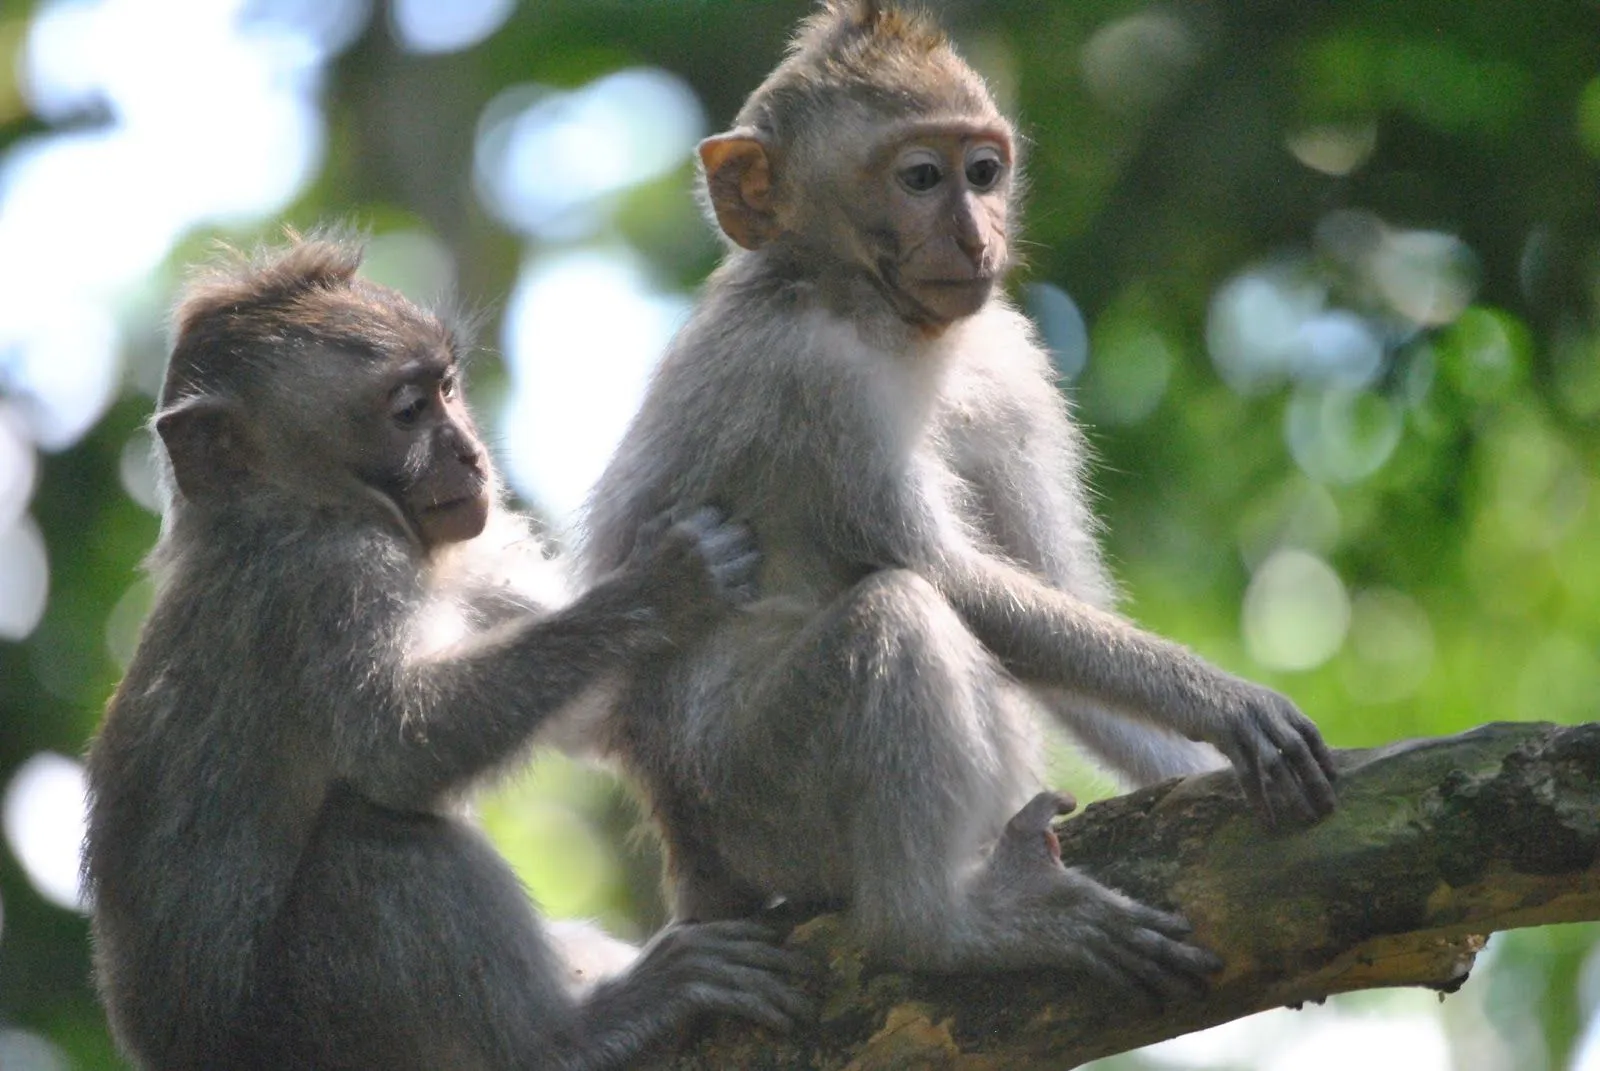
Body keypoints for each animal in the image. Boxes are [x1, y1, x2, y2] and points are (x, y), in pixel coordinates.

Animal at [81, 233, 806, 1069]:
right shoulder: (329, 577)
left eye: (449, 389)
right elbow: (400, 746)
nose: (469, 453)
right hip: (316, 1028)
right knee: (374, 841)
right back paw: (568, 1035)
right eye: (407, 411)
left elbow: (594, 715)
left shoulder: (471, 550)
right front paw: (666, 584)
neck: (305, 505)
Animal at [585, 4, 1337, 998]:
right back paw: (937, 926)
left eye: (983, 172)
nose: (978, 238)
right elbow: (951, 578)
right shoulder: (810, 378)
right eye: (919, 178)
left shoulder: (1009, 364)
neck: (875, 312)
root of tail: (686, 845)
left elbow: (1051, 603)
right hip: (757, 797)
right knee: (898, 614)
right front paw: (1224, 703)